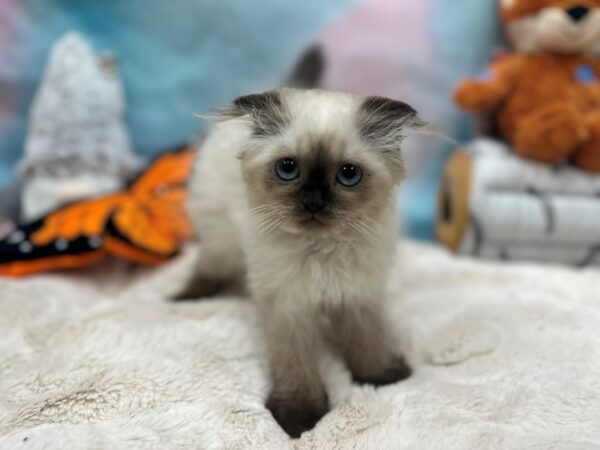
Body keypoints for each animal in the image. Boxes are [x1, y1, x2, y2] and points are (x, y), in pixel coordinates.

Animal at [177, 89, 426, 438]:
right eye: (288, 168)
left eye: (348, 174)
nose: (313, 202)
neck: (322, 252)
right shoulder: (288, 306)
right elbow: (296, 367)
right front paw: (300, 420)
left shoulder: (358, 295)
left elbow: (367, 341)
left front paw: (380, 377)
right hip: (221, 241)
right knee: (208, 270)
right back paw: (186, 298)